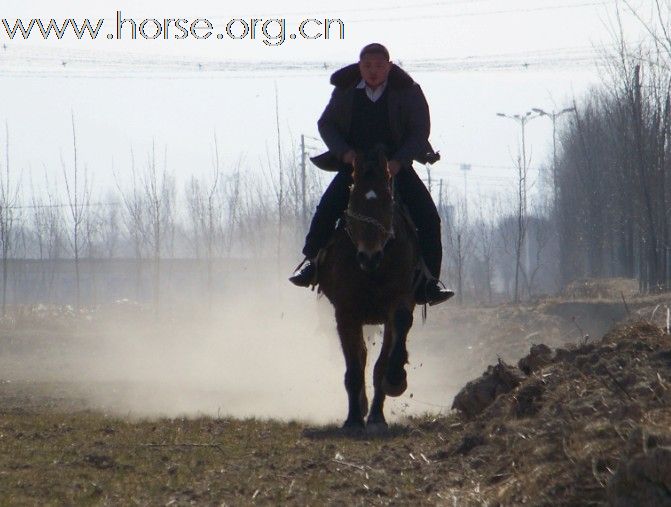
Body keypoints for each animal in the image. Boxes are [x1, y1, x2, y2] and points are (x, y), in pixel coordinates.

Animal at [316, 147, 420, 432]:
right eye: (354, 200)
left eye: (387, 201)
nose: (369, 256)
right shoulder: (345, 313)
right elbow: (354, 366)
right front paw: (353, 419)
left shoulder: (398, 302)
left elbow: (385, 357)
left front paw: (392, 385)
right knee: (360, 357)